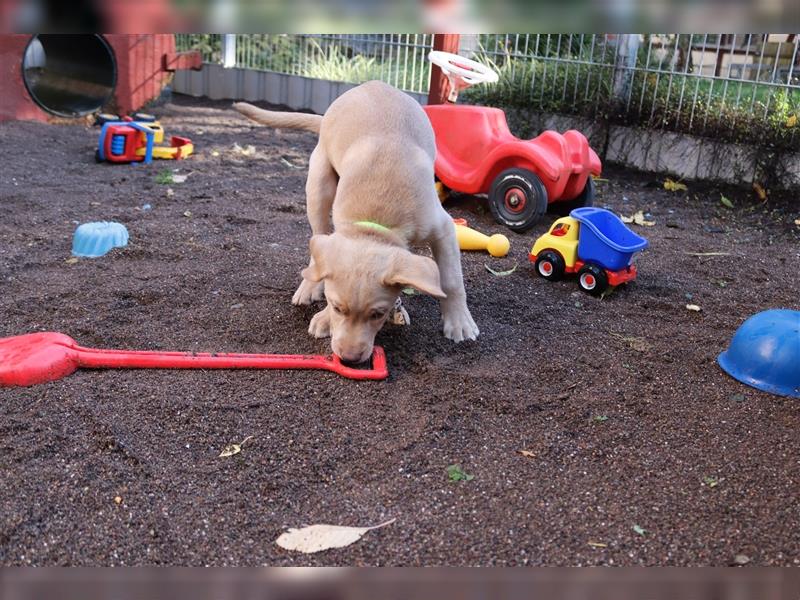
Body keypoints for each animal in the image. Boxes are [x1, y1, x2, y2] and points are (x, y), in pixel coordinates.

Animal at [234, 79, 478, 360]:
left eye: (377, 314)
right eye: (337, 307)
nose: (349, 359)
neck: (375, 223)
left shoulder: (443, 229)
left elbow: (451, 280)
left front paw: (459, 323)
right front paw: (324, 317)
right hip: (319, 184)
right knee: (317, 242)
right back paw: (309, 287)